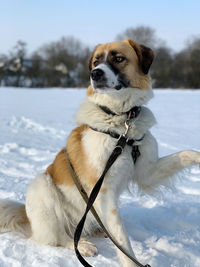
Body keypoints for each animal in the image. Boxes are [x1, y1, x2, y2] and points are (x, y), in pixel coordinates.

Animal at [0, 38, 200, 266]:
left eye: (118, 58)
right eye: (96, 61)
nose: (95, 73)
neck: (122, 125)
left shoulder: (146, 172)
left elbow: (184, 155)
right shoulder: (103, 191)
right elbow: (122, 240)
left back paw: (97, 231)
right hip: (42, 185)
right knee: (59, 237)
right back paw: (82, 245)